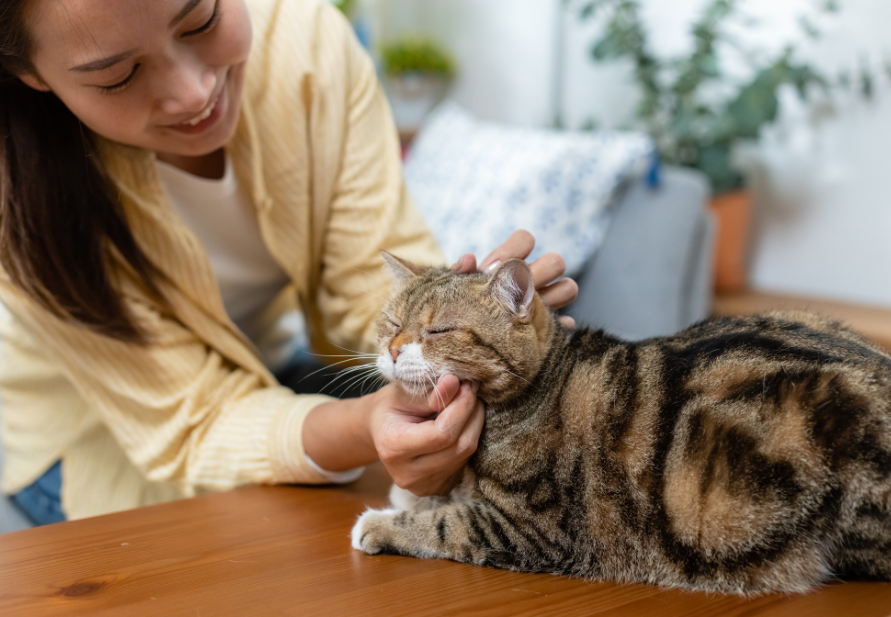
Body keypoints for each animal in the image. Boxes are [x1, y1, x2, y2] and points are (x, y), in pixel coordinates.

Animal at [350, 253, 891, 596]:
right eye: (392, 323)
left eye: (439, 330)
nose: (394, 350)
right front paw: (416, 493)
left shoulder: (534, 529)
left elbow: (447, 525)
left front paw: (382, 522)